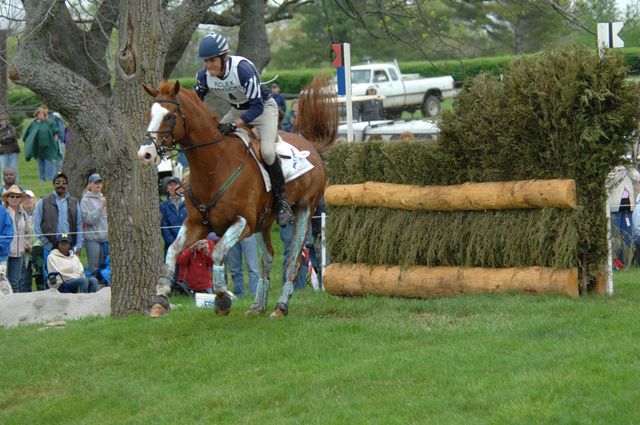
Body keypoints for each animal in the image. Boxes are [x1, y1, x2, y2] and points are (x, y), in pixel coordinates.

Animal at [138, 75, 338, 314]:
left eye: (169, 116)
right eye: (149, 115)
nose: (145, 154)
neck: (214, 166)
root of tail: (311, 146)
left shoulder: (243, 223)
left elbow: (217, 252)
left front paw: (222, 298)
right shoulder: (196, 223)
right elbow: (172, 251)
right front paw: (160, 299)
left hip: (305, 210)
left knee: (294, 260)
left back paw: (280, 306)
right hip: (263, 222)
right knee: (268, 258)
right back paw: (257, 306)